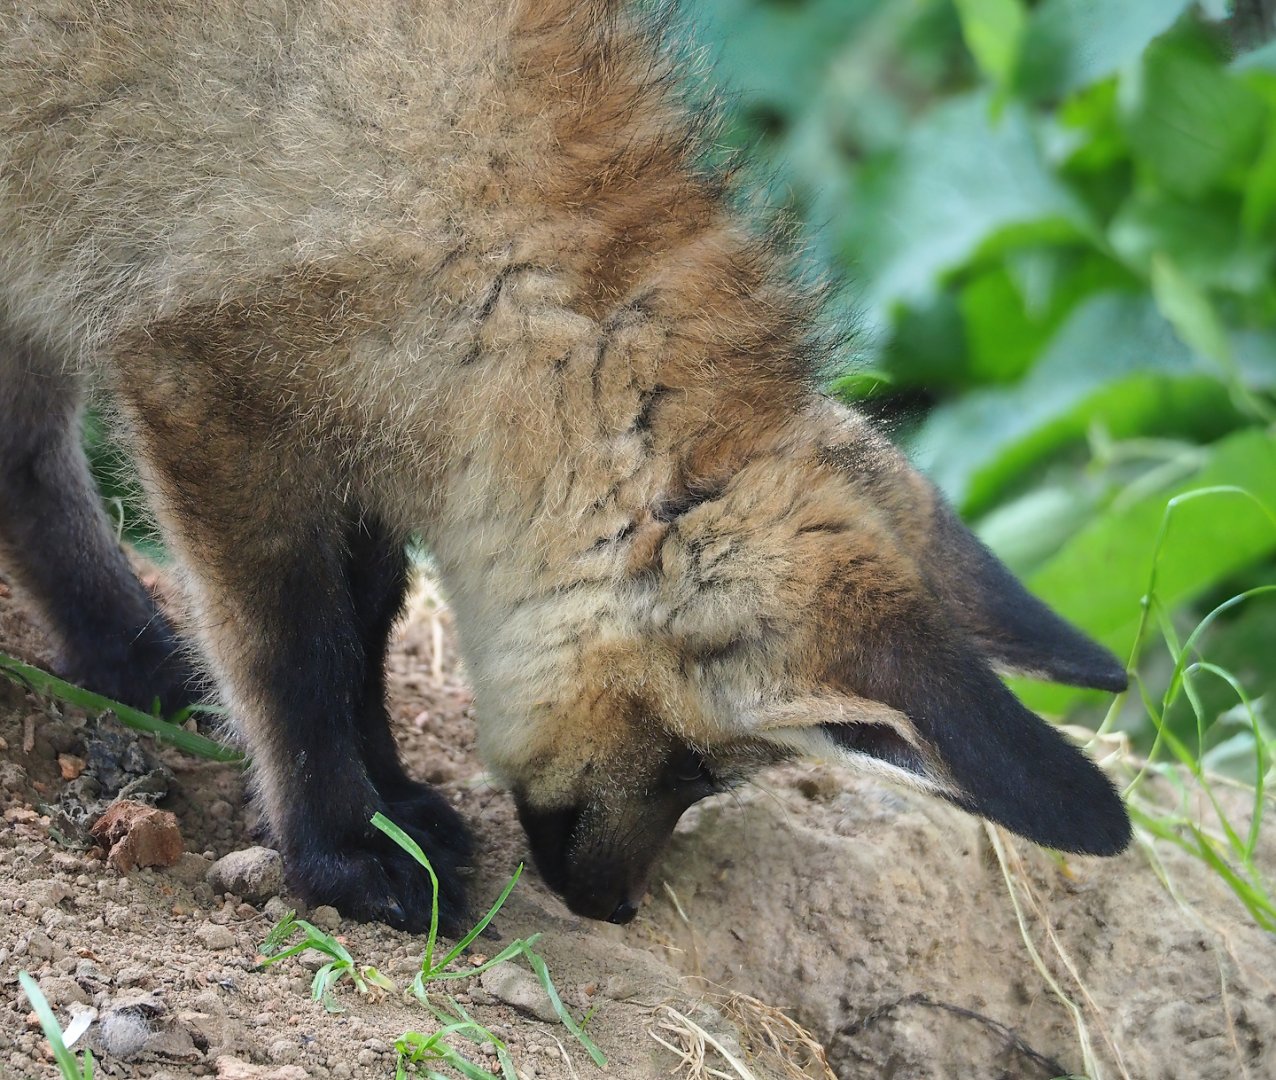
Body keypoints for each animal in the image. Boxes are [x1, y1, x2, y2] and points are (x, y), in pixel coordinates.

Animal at [0, 0, 1131, 931]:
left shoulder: (360, 426)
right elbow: (296, 655)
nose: (613, 905)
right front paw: (342, 851)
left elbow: (363, 628)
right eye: (695, 765)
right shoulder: (209, 389)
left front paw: (395, 804)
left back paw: (128, 660)